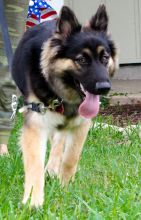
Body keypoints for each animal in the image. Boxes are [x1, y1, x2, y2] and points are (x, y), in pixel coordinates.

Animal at [11, 5, 118, 207]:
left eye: (105, 57)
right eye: (81, 60)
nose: (104, 88)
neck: (60, 94)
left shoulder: (81, 124)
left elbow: (70, 158)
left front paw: (65, 187)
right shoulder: (36, 124)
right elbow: (35, 165)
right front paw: (33, 201)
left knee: (59, 141)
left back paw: (53, 168)